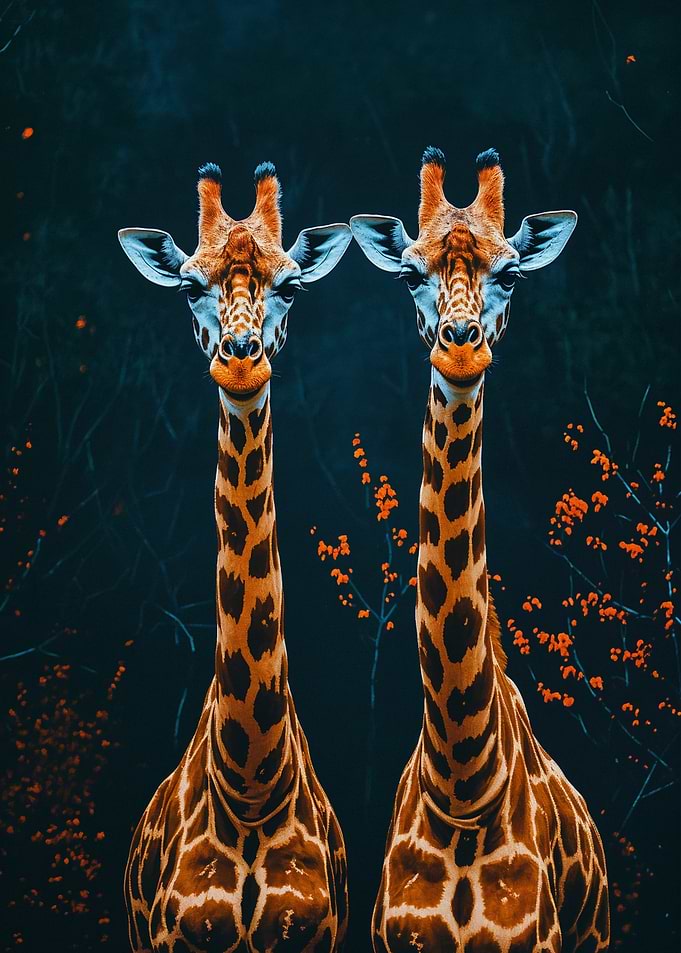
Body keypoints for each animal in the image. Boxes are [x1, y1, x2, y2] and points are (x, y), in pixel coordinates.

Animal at [118, 161, 352, 952]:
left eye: (291, 286)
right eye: (190, 285)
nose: (241, 362)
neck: (251, 779)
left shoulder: (314, 932)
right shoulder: (175, 934)